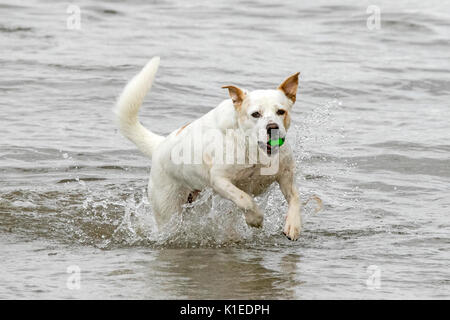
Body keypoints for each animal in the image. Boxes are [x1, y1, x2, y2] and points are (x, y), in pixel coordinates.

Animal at [116, 57, 304, 240]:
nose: (272, 127)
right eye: (255, 114)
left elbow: (295, 197)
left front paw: (293, 225)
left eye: (281, 111)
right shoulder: (219, 180)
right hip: (168, 208)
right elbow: (245, 199)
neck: (254, 149)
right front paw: (255, 218)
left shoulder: (286, 175)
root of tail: (160, 145)